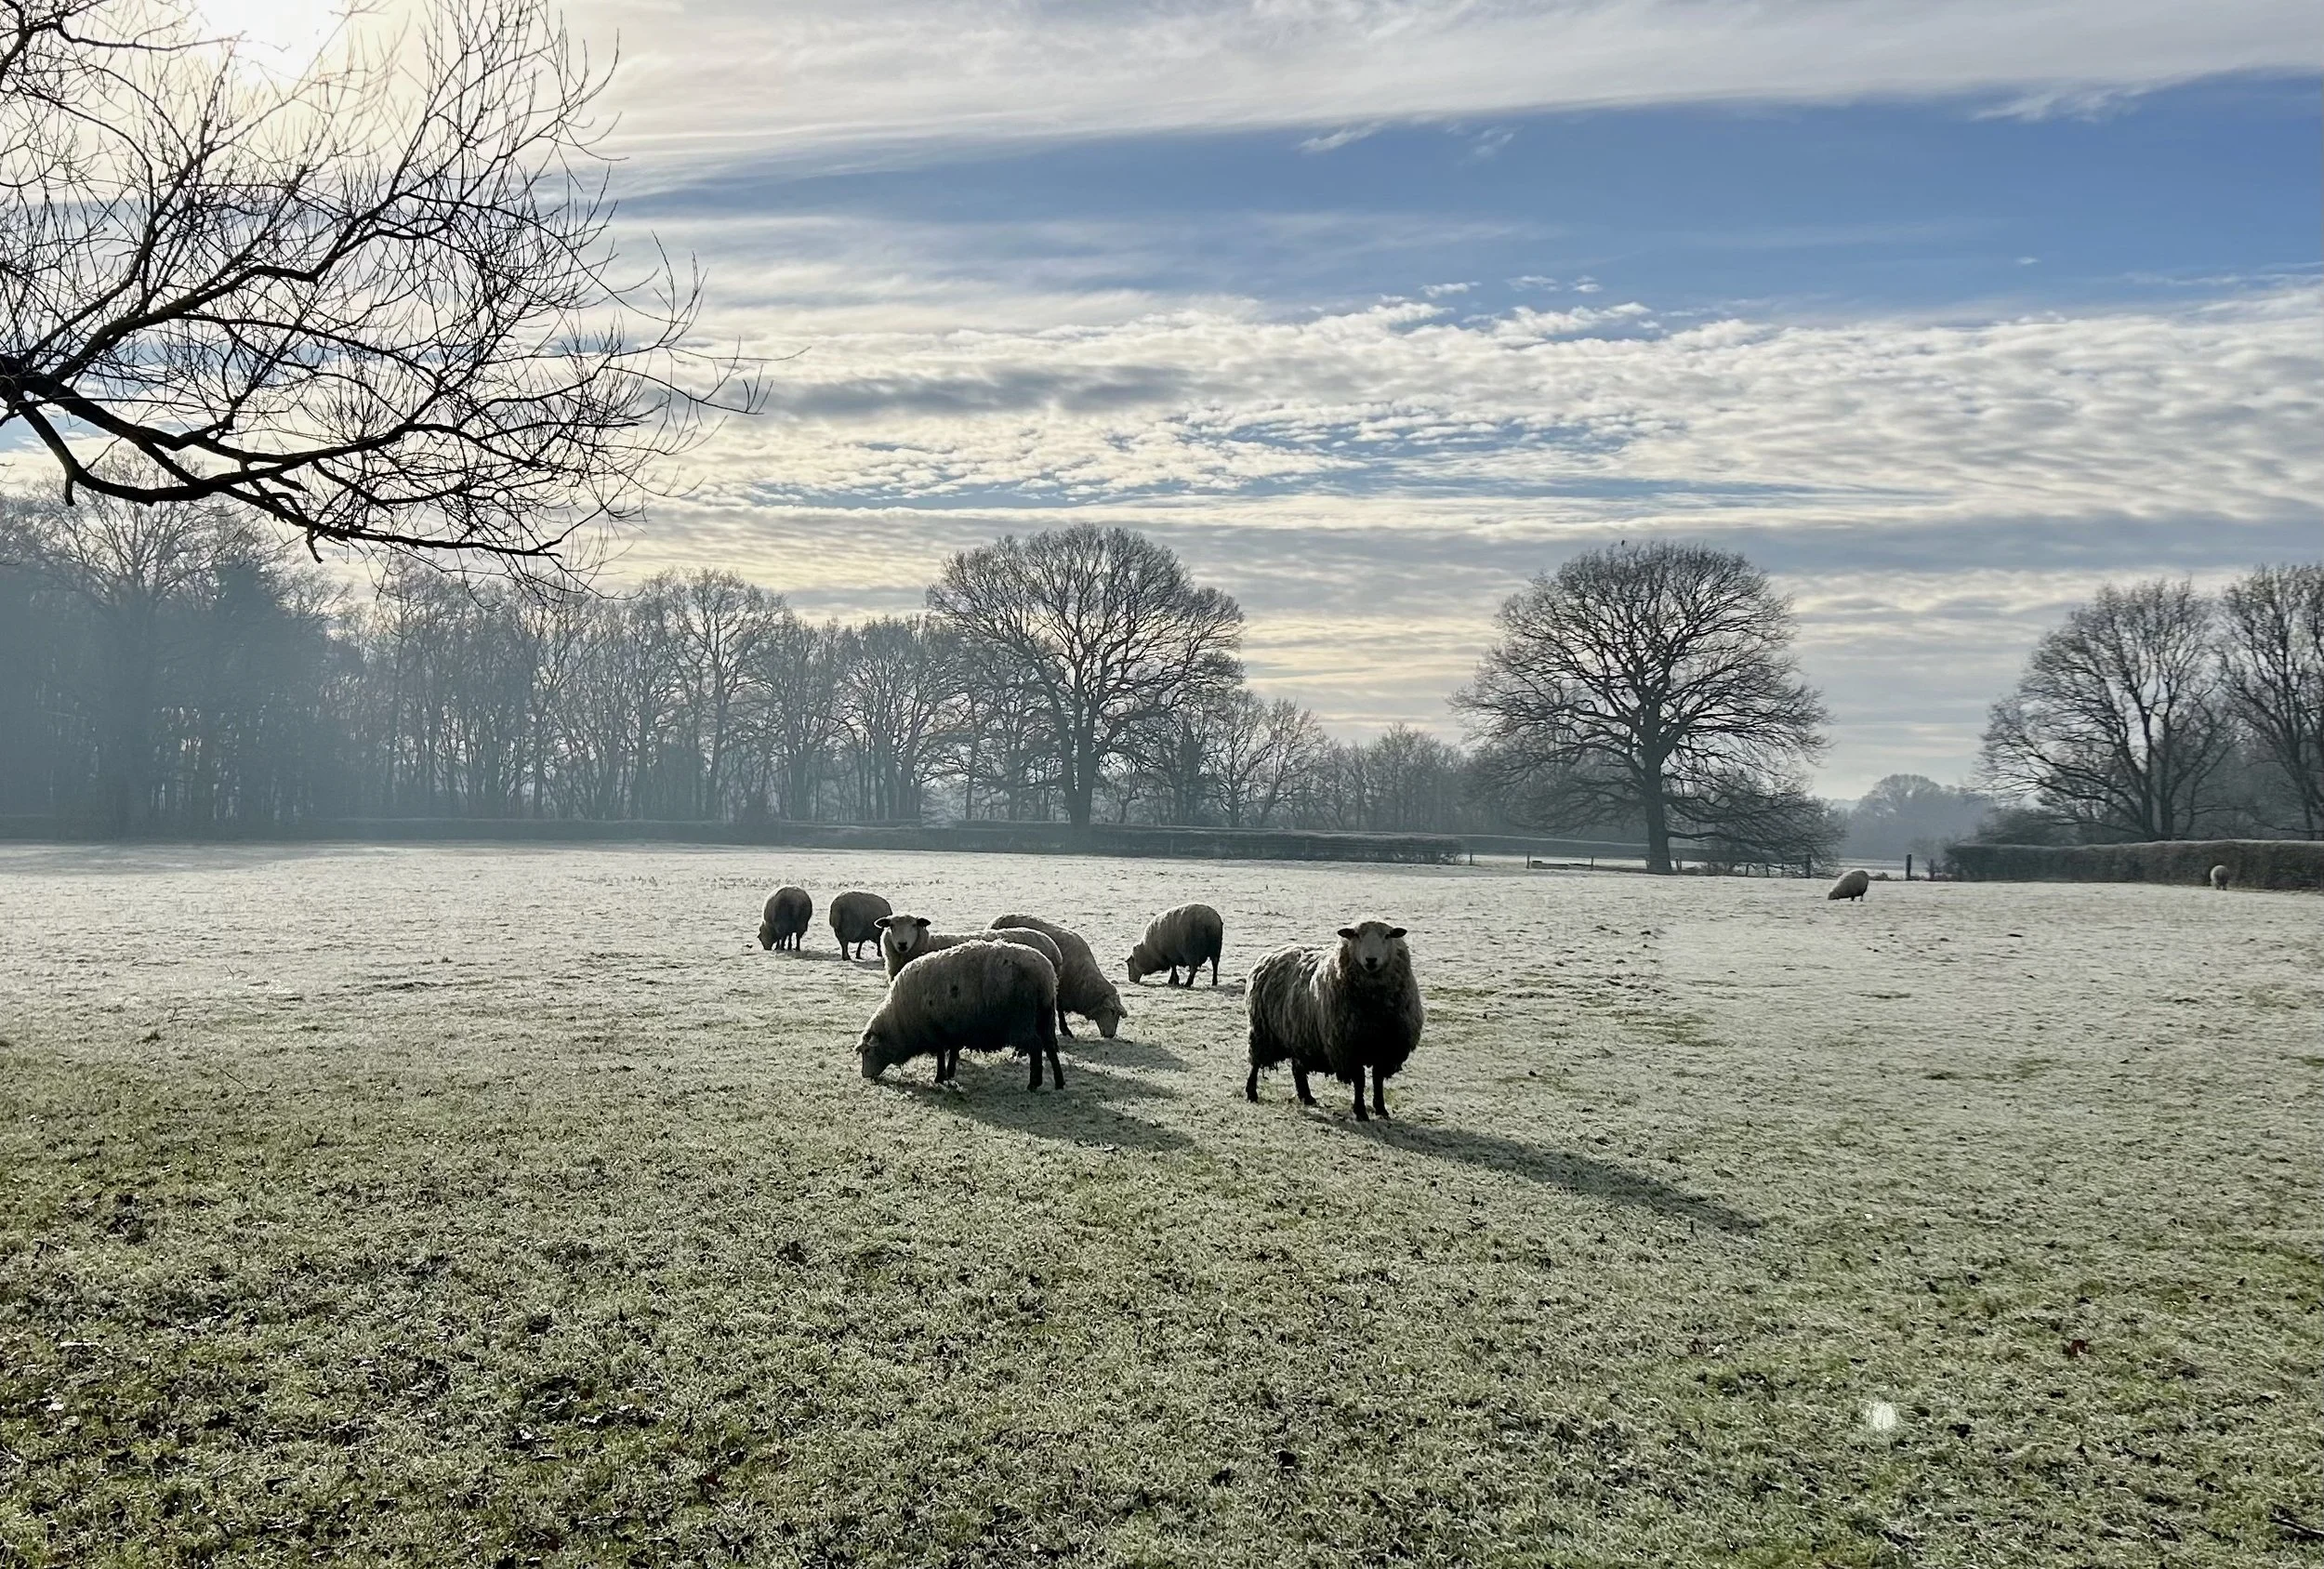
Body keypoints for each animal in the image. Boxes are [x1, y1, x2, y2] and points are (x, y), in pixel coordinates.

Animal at [858, 940, 1062, 1091]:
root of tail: (1045, 974)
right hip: (1046, 1016)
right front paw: (949, 1073)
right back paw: (1060, 1082)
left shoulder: (936, 1033)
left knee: (1036, 1046)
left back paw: (1034, 1084)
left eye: (868, 1051)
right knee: (1051, 1046)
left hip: (1022, 1022)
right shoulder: (953, 1030)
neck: (899, 1020)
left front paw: (940, 1077)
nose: (865, 1075)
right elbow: (953, 1052)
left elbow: (941, 1055)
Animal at [990, 913, 1128, 1039]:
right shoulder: (1058, 990)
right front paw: (1065, 1030)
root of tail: (995, 920)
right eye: (1112, 1011)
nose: (1111, 1035)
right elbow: (1060, 1011)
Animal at [1244, 920, 1424, 1122]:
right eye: (1356, 935)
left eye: (1387, 936)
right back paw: (1251, 1093)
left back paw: (1306, 1096)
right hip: (1262, 1030)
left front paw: (1381, 1109)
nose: (1371, 960)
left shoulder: (1385, 1048)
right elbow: (1360, 1080)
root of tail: (1272, 953)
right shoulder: (1348, 1047)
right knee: (1255, 1063)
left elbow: (1377, 1080)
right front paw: (1361, 1111)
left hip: (1299, 1031)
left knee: (1297, 1067)